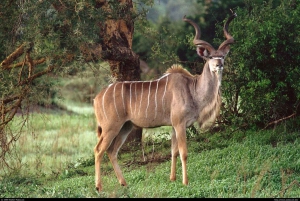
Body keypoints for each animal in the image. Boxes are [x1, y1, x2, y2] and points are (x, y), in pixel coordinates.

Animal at [93, 11, 237, 192]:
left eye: (223, 56)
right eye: (210, 57)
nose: (219, 65)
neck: (192, 88)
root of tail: (97, 97)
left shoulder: (174, 126)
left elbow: (173, 151)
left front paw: (173, 179)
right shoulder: (179, 124)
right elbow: (183, 152)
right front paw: (185, 182)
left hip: (125, 127)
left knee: (112, 151)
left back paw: (124, 183)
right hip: (110, 126)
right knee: (98, 150)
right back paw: (99, 187)